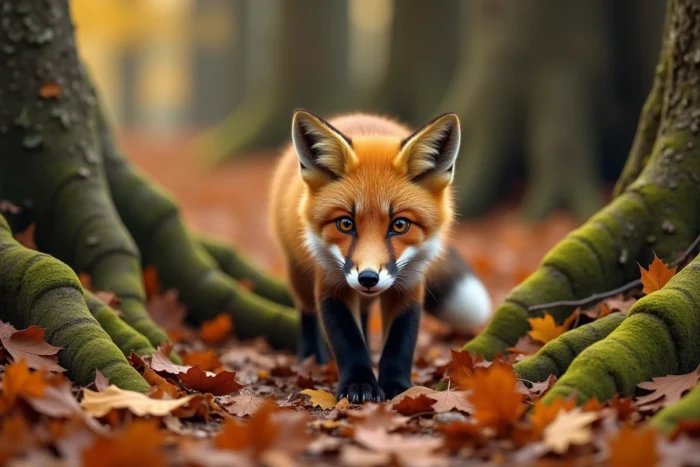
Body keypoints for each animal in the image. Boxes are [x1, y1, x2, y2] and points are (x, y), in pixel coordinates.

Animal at [269, 110, 492, 403]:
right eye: (345, 224)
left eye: (400, 225)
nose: (367, 278)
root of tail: (358, 115)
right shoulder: (331, 281)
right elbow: (348, 341)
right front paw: (359, 384)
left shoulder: (409, 285)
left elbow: (400, 343)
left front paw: (397, 386)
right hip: (298, 273)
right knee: (306, 312)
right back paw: (310, 359)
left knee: (363, 316)